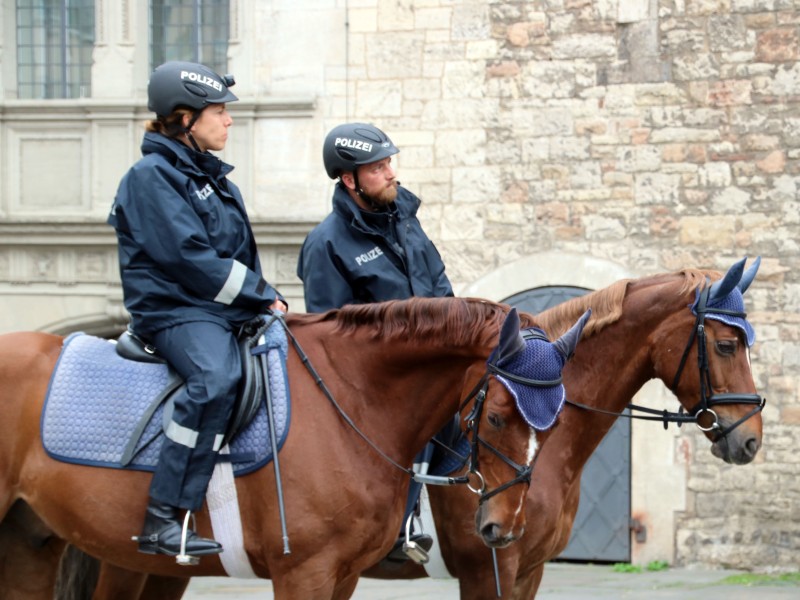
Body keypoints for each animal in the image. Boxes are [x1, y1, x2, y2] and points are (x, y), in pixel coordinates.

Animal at [0, 298, 584, 600]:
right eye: (497, 416)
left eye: (556, 423)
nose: (503, 528)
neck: (352, 397)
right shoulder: (304, 572)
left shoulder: (342, 574)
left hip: (35, 544)